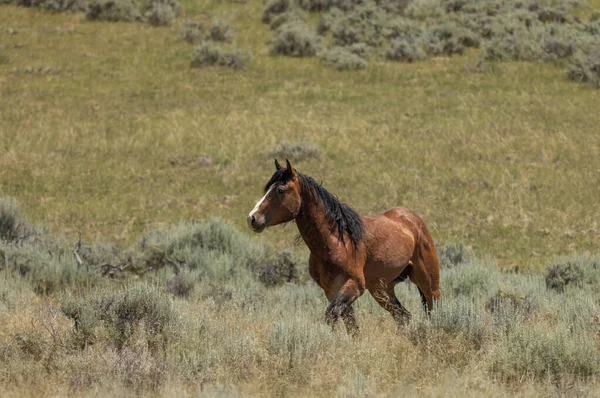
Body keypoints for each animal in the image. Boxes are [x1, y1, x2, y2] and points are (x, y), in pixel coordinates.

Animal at [245, 160, 440, 334]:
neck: (335, 242)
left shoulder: (354, 286)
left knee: (433, 310)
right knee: (403, 316)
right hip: (381, 289)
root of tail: (413, 220)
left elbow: (331, 315)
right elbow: (350, 326)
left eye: (280, 190)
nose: (252, 218)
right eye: (267, 189)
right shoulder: (332, 290)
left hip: (427, 282)